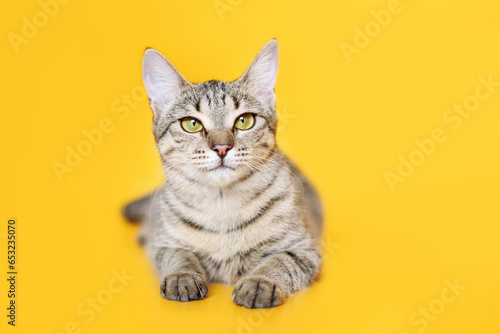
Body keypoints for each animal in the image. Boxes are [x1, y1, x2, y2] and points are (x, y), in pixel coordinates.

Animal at [123, 38, 322, 308]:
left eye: (244, 121)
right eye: (191, 124)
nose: (221, 147)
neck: (222, 205)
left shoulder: (304, 249)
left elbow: (279, 261)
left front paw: (259, 282)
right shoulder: (163, 245)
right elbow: (179, 255)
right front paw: (182, 276)